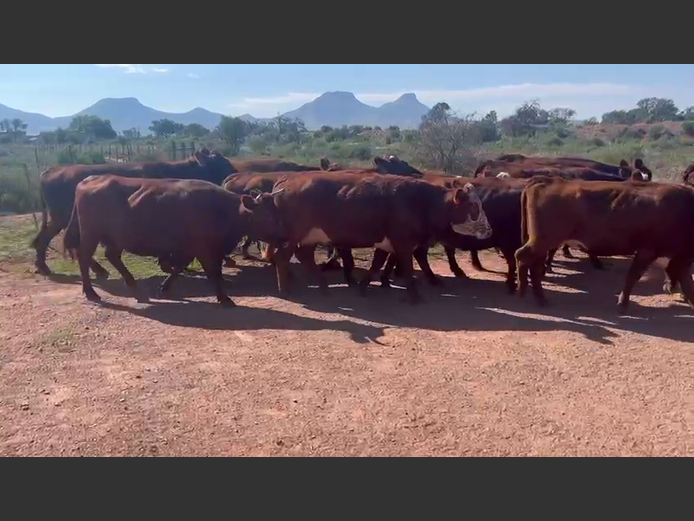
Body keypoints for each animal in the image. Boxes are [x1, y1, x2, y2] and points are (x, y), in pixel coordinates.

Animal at [63, 175, 286, 304]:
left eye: (276, 211)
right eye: (266, 215)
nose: (282, 237)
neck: (222, 209)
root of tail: (88, 180)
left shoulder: (189, 249)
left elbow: (179, 267)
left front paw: (165, 287)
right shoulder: (204, 250)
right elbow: (212, 272)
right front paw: (224, 298)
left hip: (115, 238)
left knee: (112, 256)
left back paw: (131, 283)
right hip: (92, 235)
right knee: (84, 257)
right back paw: (91, 292)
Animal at [270, 171, 492, 302]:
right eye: (473, 206)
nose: (489, 230)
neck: (423, 201)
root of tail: (286, 180)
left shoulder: (386, 244)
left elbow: (376, 265)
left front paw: (363, 286)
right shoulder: (403, 244)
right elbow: (407, 269)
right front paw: (414, 295)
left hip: (308, 237)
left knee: (305, 257)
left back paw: (322, 286)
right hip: (293, 236)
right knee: (282, 258)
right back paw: (285, 290)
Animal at [512, 177, 694, 310]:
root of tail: (547, 181)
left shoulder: (680, 257)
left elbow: (685, 281)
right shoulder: (647, 250)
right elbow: (633, 276)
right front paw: (623, 303)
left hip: (543, 244)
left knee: (534, 264)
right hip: (543, 241)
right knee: (522, 256)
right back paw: (527, 293)